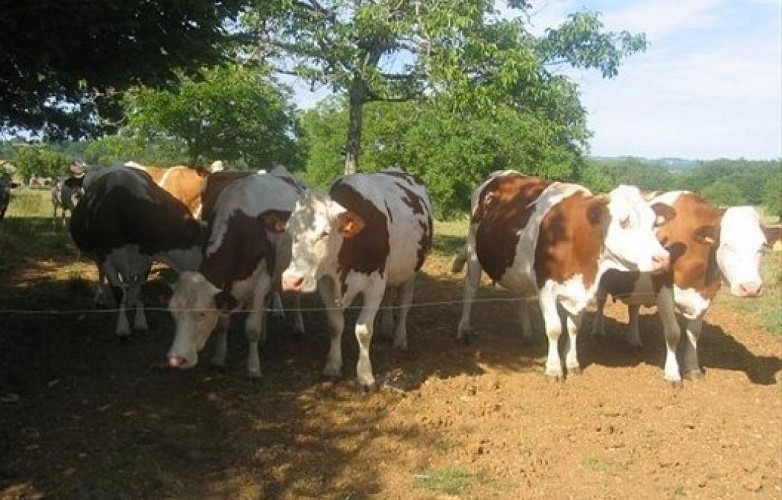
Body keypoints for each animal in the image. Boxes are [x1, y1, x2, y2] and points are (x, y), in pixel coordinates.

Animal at [70, 165, 206, 337]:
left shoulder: (146, 259)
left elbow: (138, 289)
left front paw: (140, 320)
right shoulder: (108, 258)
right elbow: (118, 291)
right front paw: (122, 326)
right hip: (99, 256)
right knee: (102, 275)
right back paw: (100, 298)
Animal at [166, 167, 306, 376]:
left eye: (202, 314)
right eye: (172, 312)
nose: (176, 360)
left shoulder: (262, 280)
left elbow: (252, 328)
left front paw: (254, 368)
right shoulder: (227, 288)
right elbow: (223, 324)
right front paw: (219, 358)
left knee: (294, 296)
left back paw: (297, 327)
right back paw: (264, 337)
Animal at [281, 169, 434, 391]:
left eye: (325, 232)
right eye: (290, 231)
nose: (292, 280)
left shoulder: (374, 285)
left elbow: (362, 330)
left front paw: (365, 376)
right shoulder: (326, 283)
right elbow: (335, 325)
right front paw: (333, 365)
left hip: (411, 270)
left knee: (405, 304)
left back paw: (399, 338)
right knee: (389, 297)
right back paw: (387, 328)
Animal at [452, 170, 672, 381]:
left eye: (654, 223)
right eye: (624, 222)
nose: (663, 258)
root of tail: (499, 175)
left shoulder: (579, 291)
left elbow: (574, 327)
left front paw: (573, 364)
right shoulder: (546, 288)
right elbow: (554, 328)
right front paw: (554, 369)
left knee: (521, 295)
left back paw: (527, 334)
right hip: (473, 251)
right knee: (470, 290)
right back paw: (463, 330)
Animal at [592, 191, 766, 385]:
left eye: (763, 247)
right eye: (727, 245)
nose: (751, 288)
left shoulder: (707, 295)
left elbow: (694, 333)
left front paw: (693, 368)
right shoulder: (664, 289)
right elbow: (673, 333)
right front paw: (672, 374)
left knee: (634, 308)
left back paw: (634, 339)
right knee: (601, 301)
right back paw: (598, 331)